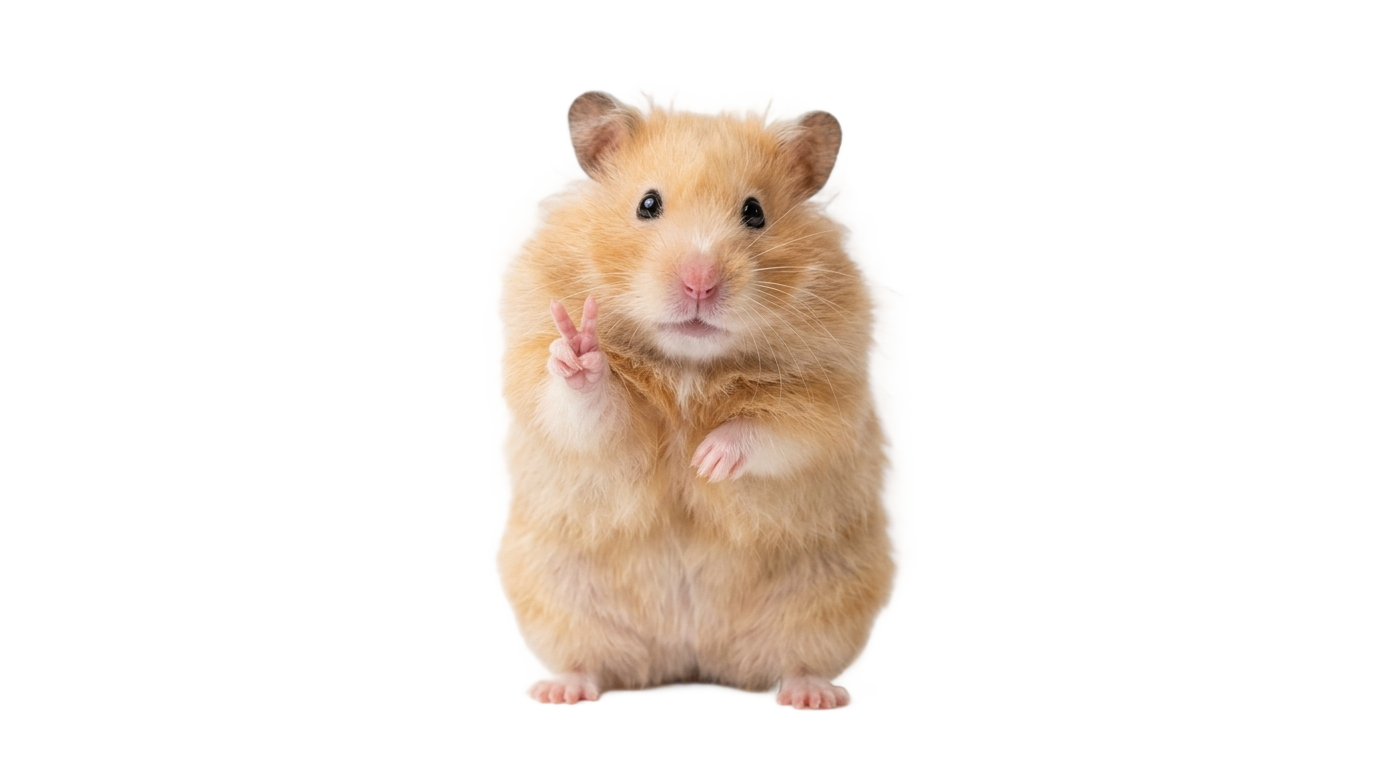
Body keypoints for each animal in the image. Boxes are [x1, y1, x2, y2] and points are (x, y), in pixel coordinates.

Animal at [499, 92, 892, 708]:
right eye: (648, 204)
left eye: (754, 212)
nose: (700, 284)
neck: (689, 364)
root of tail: (691, 658)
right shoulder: (558, 388)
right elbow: (590, 412)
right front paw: (581, 348)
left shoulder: (830, 395)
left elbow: (774, 430)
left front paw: (706, 461)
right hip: (555, 597)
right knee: (591, 662)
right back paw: (562, 693)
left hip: (827, 602)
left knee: (797, 662)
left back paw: (810, 699)